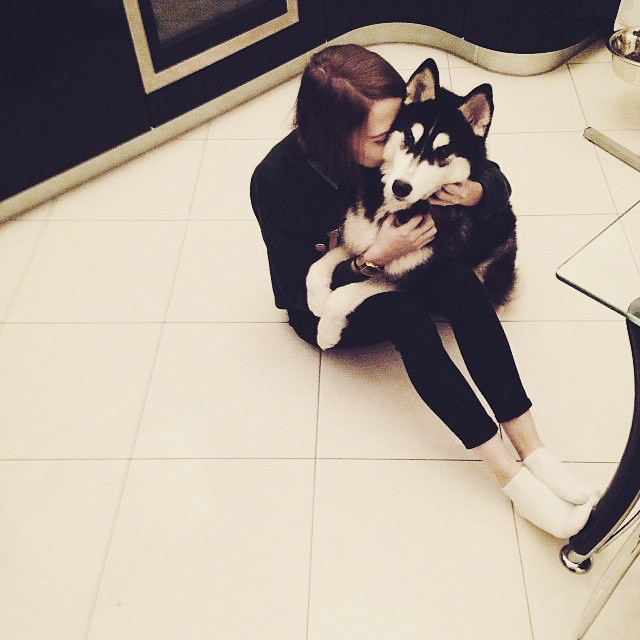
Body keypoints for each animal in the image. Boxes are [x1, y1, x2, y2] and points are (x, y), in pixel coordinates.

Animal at [306, 58, 517, 350]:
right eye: (408, 138)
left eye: (442, 152)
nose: (400, 186)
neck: (397, 209)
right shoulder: (359, 239)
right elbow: (318, 264)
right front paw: (316, 299)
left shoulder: (414, 276)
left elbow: (344, 294)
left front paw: (326, 331)